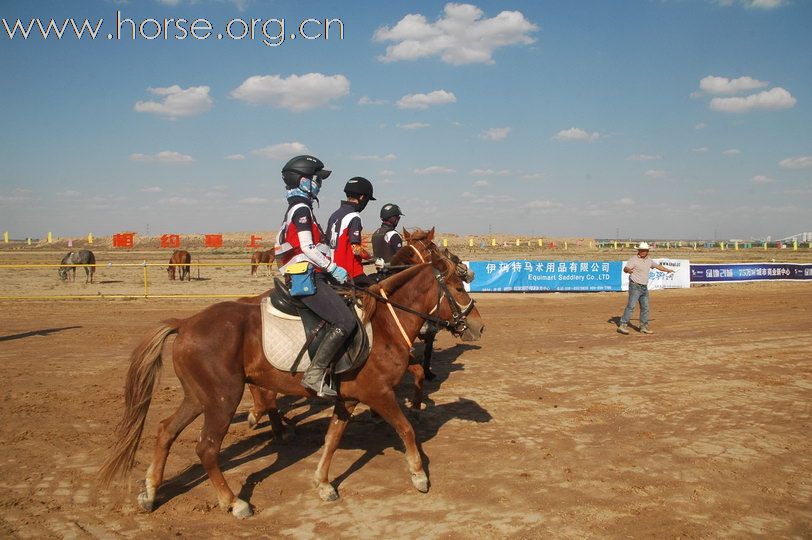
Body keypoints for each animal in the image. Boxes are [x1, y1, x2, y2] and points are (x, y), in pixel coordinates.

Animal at [100, 256, 482, 520]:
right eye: (458, 288)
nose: (478, 327)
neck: (385, 323)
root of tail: (186, 323)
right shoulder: (379, 394)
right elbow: (405, 430)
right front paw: (419, 475)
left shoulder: (348, 399)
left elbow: (332, 438)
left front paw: (324, 484)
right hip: (222, 400)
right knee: (207, 448)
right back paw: (234, 502)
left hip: (199, 398)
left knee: (166, 431)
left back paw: (151, 493)